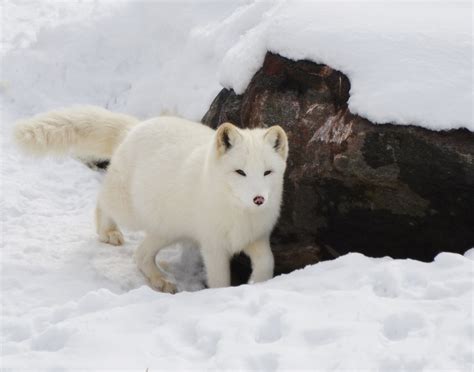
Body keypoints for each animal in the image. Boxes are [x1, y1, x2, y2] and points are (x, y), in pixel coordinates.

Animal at [13, 107, 288, 294]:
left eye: (267, 172)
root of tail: (134, 128)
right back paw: (108, 232)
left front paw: (259, 284)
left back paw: (160, 280)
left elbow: (267, 263)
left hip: (167, 229)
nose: (259, 199)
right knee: (103, 201)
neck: (239, 213)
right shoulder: (213, 245)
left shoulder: (256, 237)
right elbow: (220, 280)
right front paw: (222, 295)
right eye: (240, 172)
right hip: (132, 212)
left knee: (140, 255)